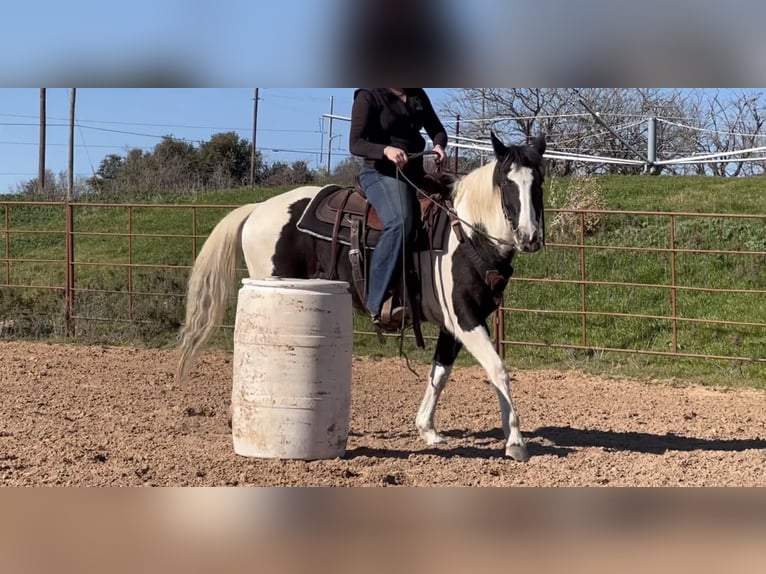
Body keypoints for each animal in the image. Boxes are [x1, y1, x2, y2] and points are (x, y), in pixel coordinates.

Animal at [176, 131, 547, 461]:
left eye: (538, 182)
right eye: (507, 183)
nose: (530, 237)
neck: (469, 232)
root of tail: (258, 209)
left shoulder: (455, 324)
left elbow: (440, 374)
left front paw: (427, 429)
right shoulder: (465, 318)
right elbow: (498, 370)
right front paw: (516, 442)